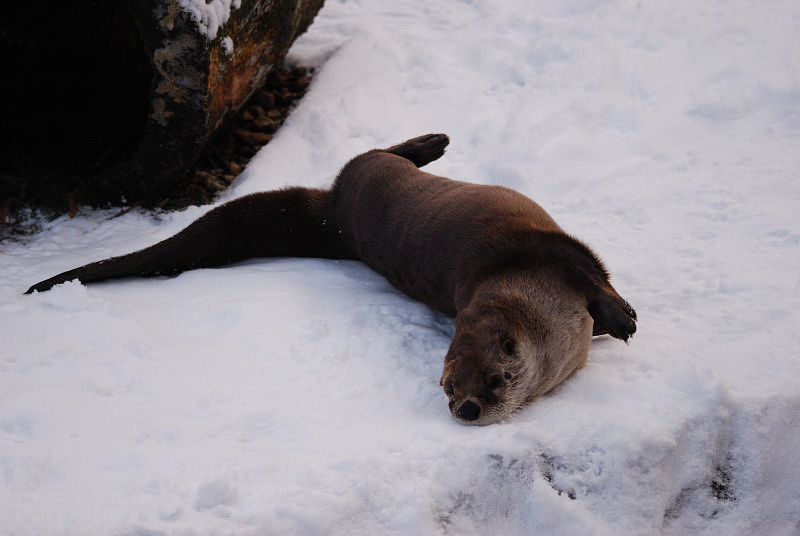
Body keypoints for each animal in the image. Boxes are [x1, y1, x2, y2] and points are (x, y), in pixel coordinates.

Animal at [25, 134, 637, 425]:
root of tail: (333, 215)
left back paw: (432, 144)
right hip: (364, 179)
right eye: (445, 387)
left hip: (370, 174)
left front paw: (623, 320)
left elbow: (593, 273)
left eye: (493, 379)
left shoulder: (543, 249)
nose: (465, 410)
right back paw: (430, 145)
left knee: (376, 151)